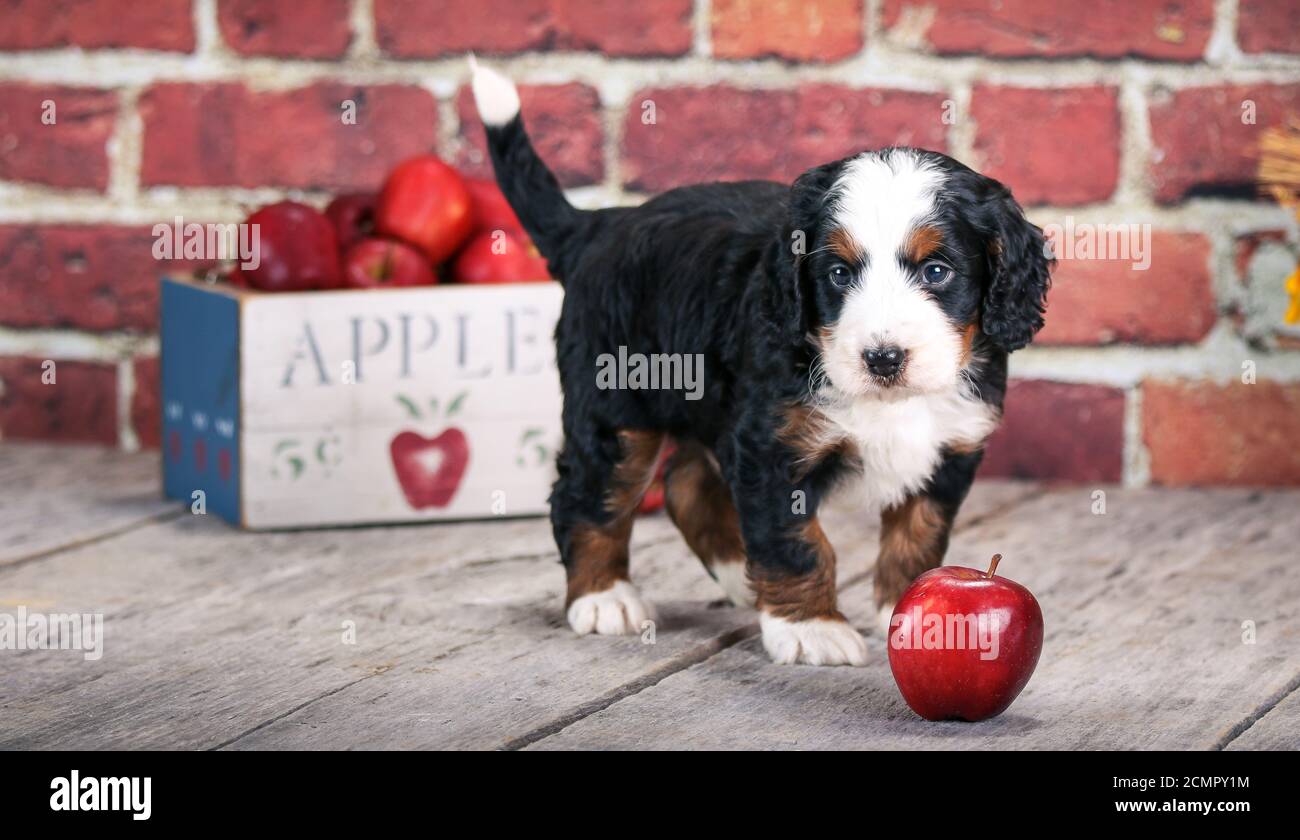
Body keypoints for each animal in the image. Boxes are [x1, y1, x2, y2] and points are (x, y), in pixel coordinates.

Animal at [473, 57, 1050, 665]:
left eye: (937, 271)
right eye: (838, 274)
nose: (883, 358)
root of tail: (599, 226)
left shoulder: (951, 447)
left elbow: (918, 536)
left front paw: (912, 611)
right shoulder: (772, 443)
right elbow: (796, 540)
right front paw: (810, 627)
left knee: (685, 485)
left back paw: (735, 577)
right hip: (614, 405)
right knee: (589, 494)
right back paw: (603, 597)